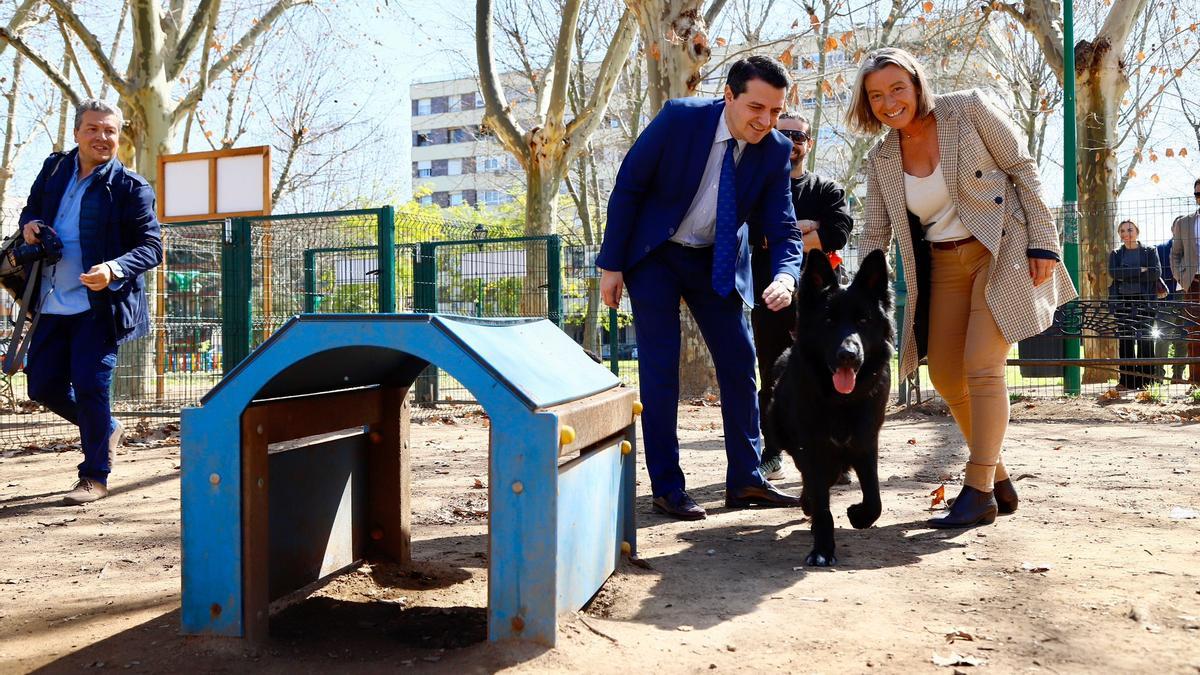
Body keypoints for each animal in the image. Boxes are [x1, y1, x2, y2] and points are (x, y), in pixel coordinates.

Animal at [763, 247, 897, 562]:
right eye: (828, 321)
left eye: (863, 321)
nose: (848, 354)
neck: (840, 400)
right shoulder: (812, 446)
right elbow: (822, 503)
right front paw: (822, 548)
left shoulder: (865, 441)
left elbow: (874, 498)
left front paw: (858, 515)